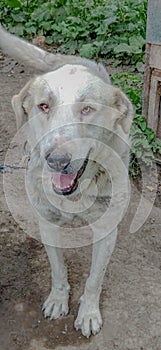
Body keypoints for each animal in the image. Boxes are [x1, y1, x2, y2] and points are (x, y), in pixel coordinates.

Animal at [0, 26, 133, 338]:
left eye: (87, 109)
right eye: (43, 106)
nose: (57, 160)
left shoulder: (107, 232)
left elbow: (95, 279)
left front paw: (88, 313)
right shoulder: (47, 225)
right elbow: (58, 270)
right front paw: (58, 300)